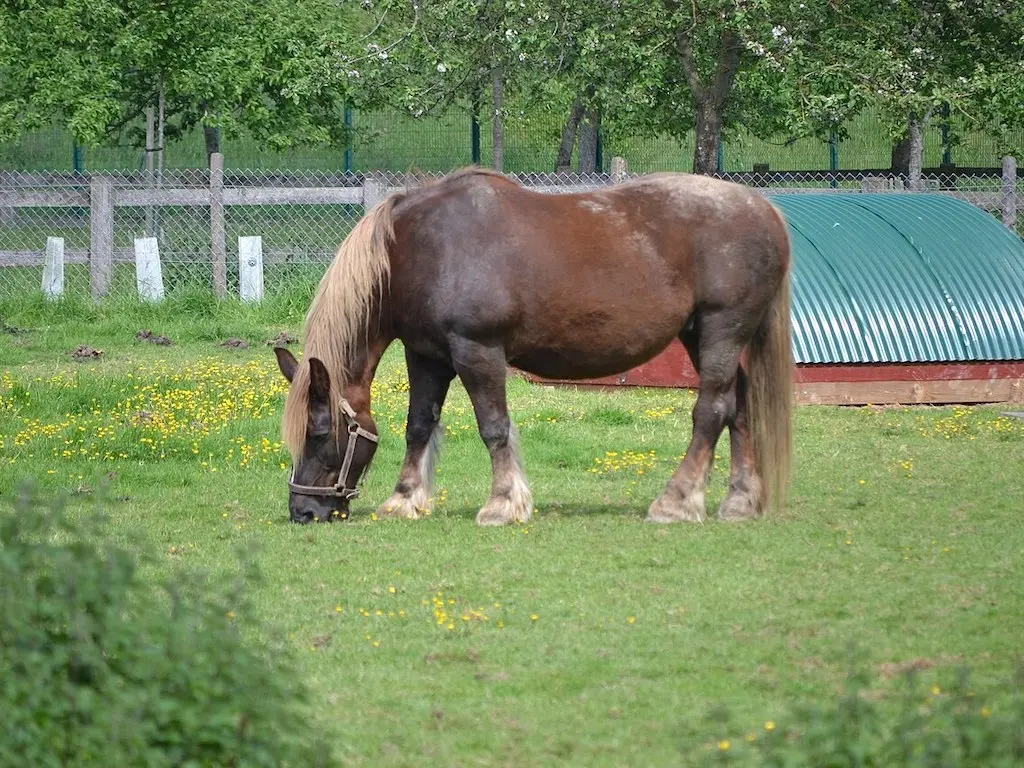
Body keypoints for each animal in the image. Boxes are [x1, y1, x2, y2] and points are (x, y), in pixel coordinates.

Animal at [270, 167, 790, 528]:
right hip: (701, 336)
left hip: (722, 330)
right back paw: (739, 501)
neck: (419, 250)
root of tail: (765, 211)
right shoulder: (427, 356)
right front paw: (405, 498)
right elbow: (418, 424)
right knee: (738, 405)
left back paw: (676, 501)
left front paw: (502, 503)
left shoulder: (477, 351)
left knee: (711, 410)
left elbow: (494, 427)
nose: (303, 511)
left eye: (319, 433)